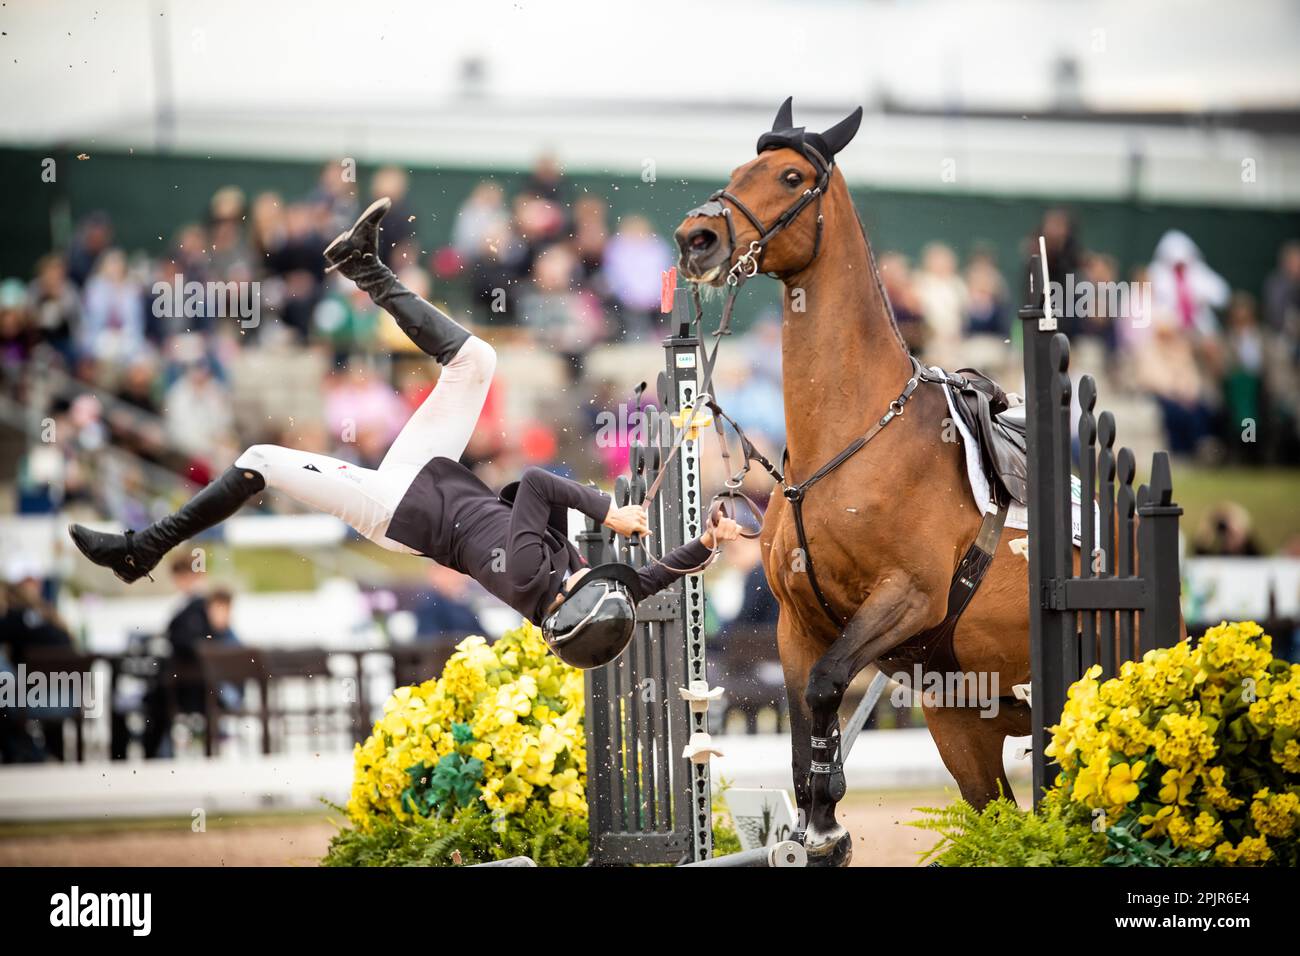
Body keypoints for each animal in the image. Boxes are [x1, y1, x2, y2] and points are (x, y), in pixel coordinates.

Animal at [676, 100, 1029, 868]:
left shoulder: (908, 597)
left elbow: (827, 686)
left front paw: (825, 819)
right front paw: (814, 825)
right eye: (738, 170)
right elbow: (804, 716)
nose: (697, 238)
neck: (851, 437)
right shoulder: (797, 622)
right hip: (965, 725)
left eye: (790, 175)